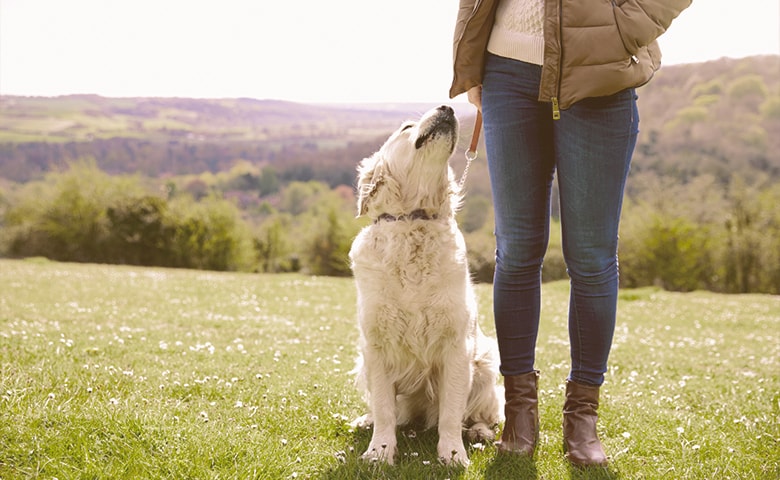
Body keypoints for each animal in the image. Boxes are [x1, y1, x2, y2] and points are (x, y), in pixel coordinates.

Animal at [348, 104, 500, 464]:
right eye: (406, 127)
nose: (448, 107)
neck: (413, 221)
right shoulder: (375, 346)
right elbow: (385, 408)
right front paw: (379, 452)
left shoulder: (458, 346)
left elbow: (451, 412)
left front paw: (453, 454)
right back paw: (366, 420)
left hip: (486, 361)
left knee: (486, 413)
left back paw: (479, 431)